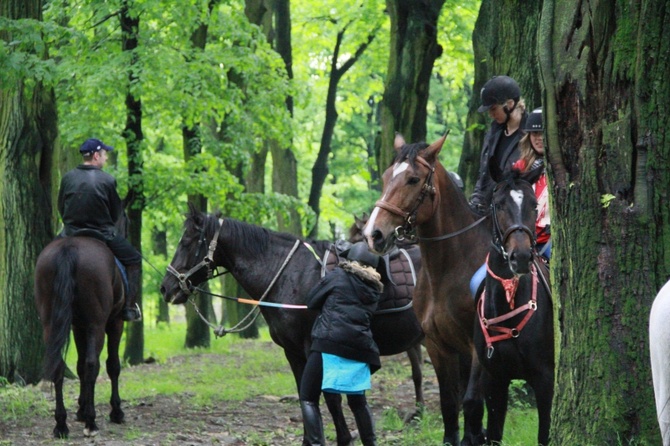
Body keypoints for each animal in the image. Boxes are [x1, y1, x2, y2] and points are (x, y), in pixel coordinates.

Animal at [33, 235, 129, 438]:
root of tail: (68, 247)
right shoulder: (115, 322)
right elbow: (113, 365)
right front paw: (116, 411)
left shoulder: (78, 327)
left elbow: (79, 367)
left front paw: (80, 410)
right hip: (97, 325)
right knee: (92, 364)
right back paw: (91, 423)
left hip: (51, 325)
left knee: (59, 365)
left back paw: (61, 424)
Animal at [160, 206, 426, 446]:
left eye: (187, 241)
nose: (165, 288)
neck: (290, 274)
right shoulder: (293, 353)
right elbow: (304, 395)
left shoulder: (315, 350)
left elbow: (329, 399)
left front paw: (344, 438)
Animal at [364, 133, 490, 446]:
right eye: (386, 176)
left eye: (413, 179)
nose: (374, 234)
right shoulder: (437, 344)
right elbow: (449, 404)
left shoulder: (477, 346)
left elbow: (472, 402)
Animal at [478, 171, 556, 446]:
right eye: (499, 204)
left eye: (534, 205)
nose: (520, 257)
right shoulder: (493, 381)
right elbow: (493, 435)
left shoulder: (545, 379)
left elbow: (544, 435)